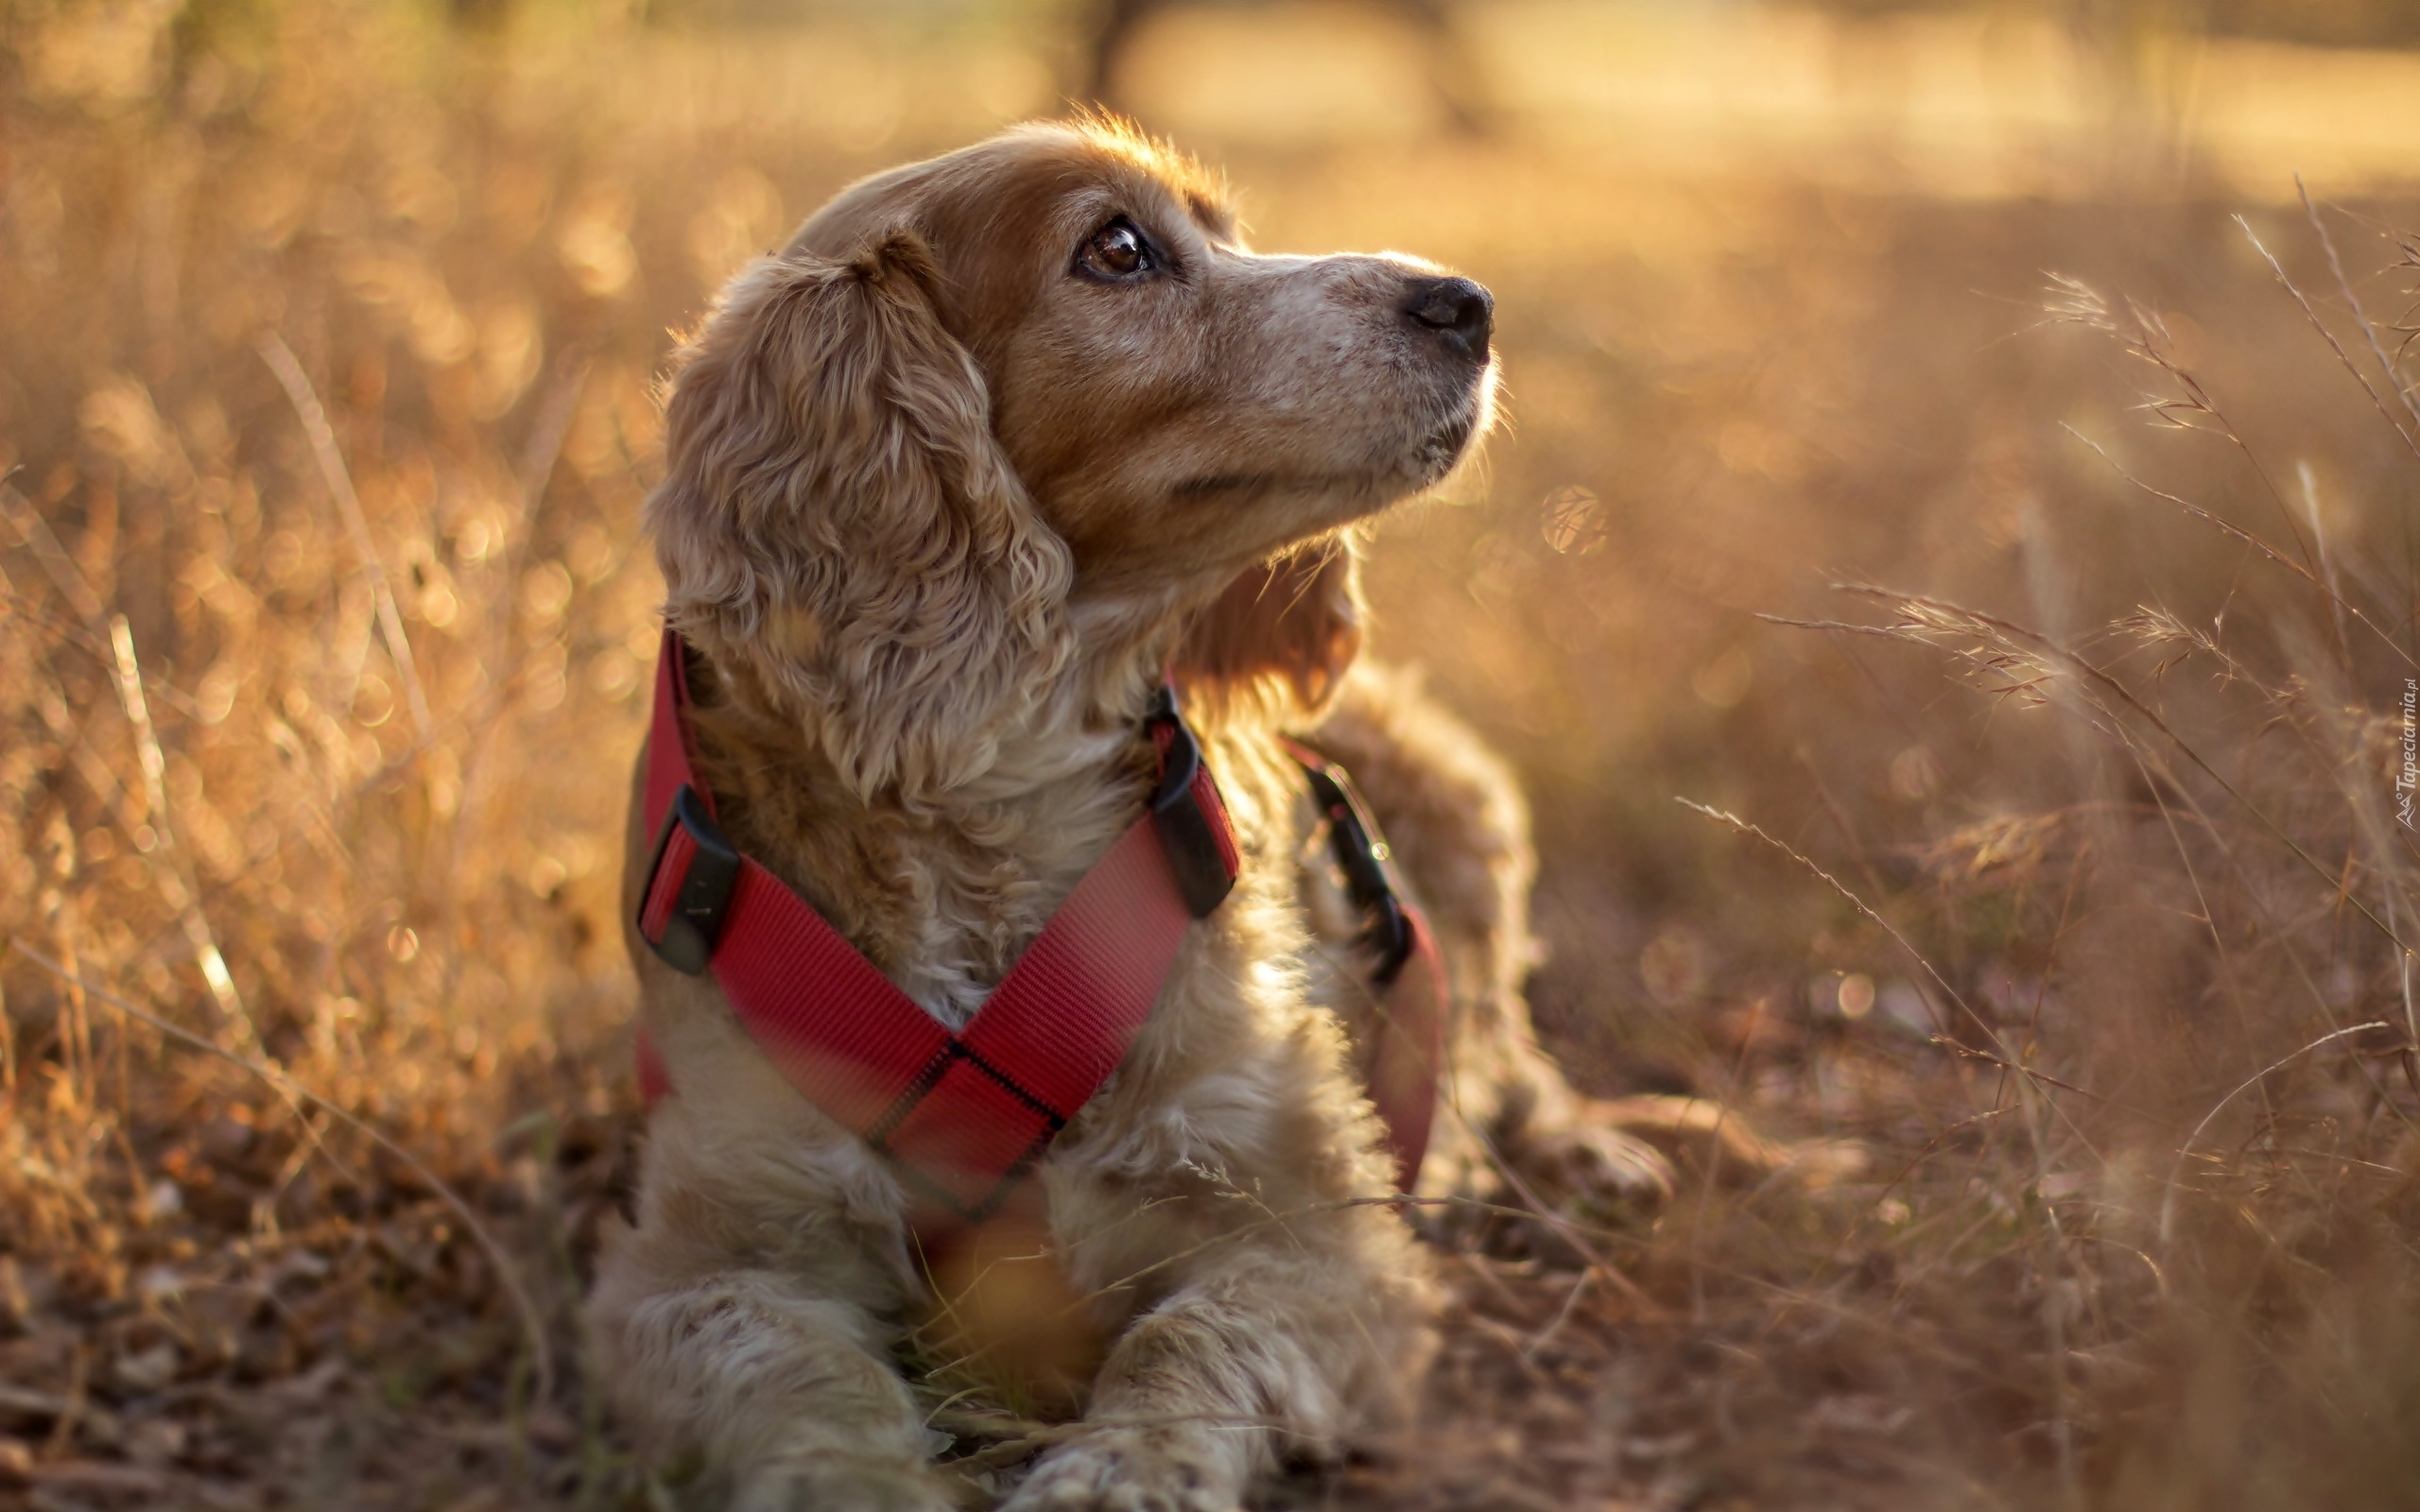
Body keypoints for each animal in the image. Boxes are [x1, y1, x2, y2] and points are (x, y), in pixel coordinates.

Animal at [593, 121, 1752, 1509]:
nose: (1467, 303)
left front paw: (1118, 1473)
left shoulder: (1322, 1235)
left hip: (1466, 818)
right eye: (1118, 249)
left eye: (1229, 233)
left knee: (1511, 1055)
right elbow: (798, 1377)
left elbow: (1187, 1343)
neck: (992, 811)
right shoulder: (707, 1250)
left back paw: (1592, 1159)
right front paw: (859, 1484)